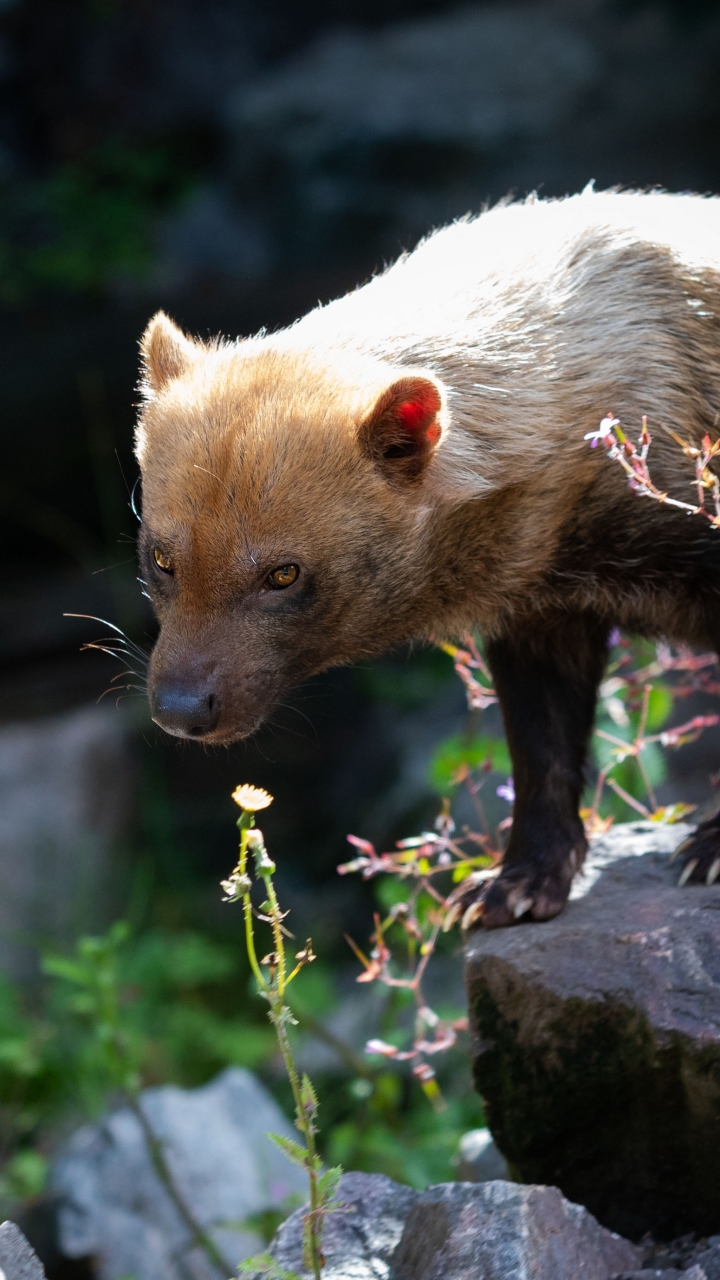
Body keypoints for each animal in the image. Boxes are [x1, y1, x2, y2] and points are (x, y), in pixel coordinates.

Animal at [137, 189, 717, 926]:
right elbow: (541, 749)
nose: (180, 711)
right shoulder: (541, 615)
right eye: (161, 558)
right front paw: (518, 882)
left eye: (283, 574)